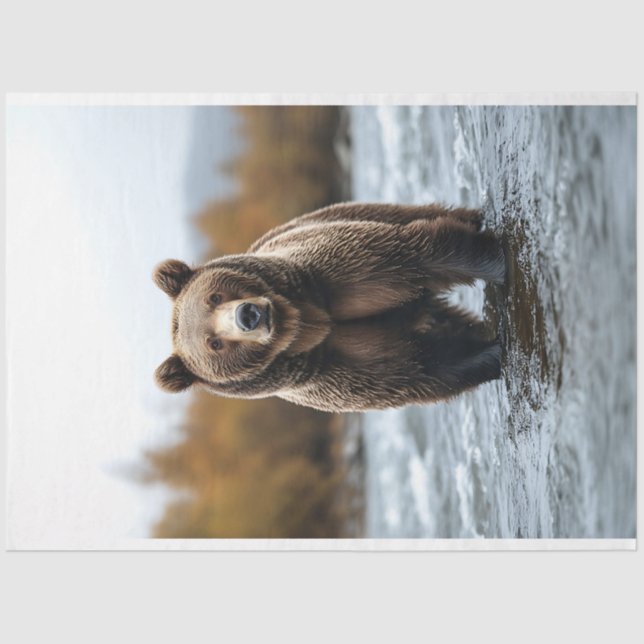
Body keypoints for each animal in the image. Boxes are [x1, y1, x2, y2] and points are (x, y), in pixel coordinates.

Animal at [153, 202, 506, 413]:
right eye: (214, 344)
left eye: (214, 297)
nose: (248, 315)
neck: (308, 322)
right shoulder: (335, 369)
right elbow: (425, 366)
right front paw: (489, 352)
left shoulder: (333, 276)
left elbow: (417, 256)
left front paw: (497, 264)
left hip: (347, 214)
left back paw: (473, 217)